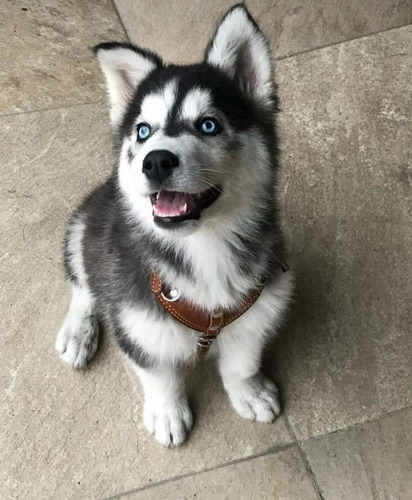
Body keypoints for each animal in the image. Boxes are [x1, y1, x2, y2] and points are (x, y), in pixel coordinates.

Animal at [55, 4, 292, 446]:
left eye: (208, 125)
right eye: (143, 131)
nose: (156, 161)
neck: (203, 246)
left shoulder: (261, 304)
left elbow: (242, 361)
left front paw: (248, 392)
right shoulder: (136, 317)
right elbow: (158, 374)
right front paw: (167, 413)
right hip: (85, 227)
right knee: (85, 283)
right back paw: (78, 332)